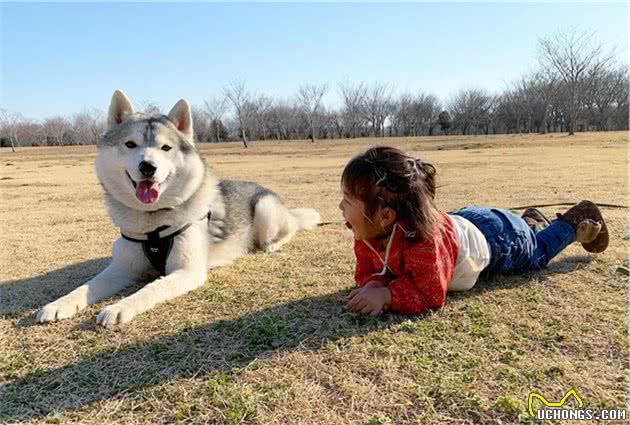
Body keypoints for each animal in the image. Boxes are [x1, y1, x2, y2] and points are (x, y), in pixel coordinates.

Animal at [35, 90, 320, 328]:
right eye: (130, 144)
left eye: (166, 148)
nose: (147, 167)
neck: (153, 223)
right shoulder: (122, 269)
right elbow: (85, 286)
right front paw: (58, 305)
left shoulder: (186, 271)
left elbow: (150, 289)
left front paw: (119, 307)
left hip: (264, 208)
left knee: (289, 229)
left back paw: (271, 244)